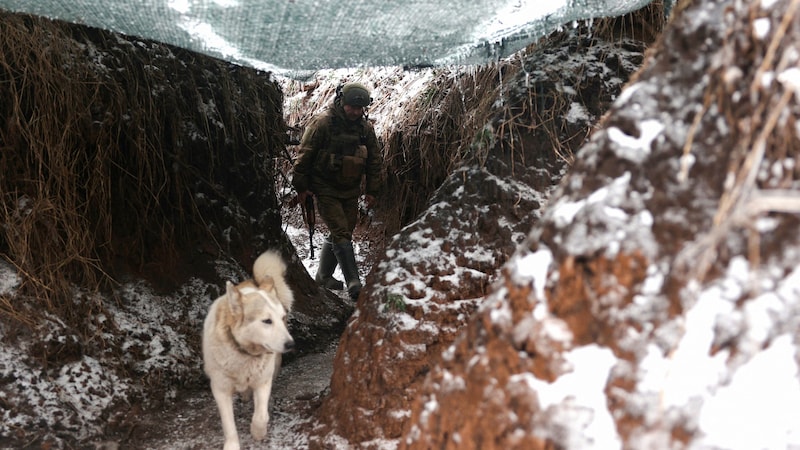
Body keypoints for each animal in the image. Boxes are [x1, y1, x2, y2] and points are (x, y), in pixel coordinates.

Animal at [202, 250, 296, 450]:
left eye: (281, 318)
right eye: (267, 321)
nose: (291, 345)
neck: (244, 353)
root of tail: (256, 283)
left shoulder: (263, 381)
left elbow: (261, 415)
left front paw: (258, 432)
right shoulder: (220, 389)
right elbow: (228, 424)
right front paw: (232, 445)